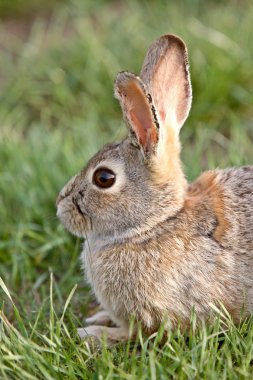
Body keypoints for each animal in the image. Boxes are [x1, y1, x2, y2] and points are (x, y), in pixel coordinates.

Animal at [56, 35, 253, 342]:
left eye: (103, 178)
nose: (60, 206)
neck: (156, 224)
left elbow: (133, 334)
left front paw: (94, 333)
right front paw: (99, 318)